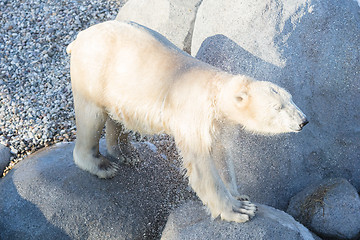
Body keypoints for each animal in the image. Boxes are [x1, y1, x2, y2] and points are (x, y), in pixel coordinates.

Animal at [66, 20, 308, 223]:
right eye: (277, 107)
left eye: (291, 99)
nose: (303, 121)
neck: (215, 91)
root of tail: (80, 37)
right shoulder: (195, 117)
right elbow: (201, 165)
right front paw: (238, 211)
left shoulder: (220, 124)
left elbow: (222, 154)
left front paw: (240, 196)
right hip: (93, 72)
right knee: (91, 116)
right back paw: (101, 165)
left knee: (117, 117)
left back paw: (126, 153)